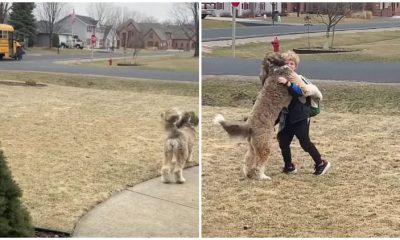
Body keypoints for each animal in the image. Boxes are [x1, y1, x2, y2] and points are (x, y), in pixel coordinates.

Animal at [212, 52, 322, 180]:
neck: (275, 69)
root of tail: (249, 126)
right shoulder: (299, 85)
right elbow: (310, 88)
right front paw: (319, 96)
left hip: (253, 147)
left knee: (248, 159)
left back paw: (247, 174)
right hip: (265, 145)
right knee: (258, 165)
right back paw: (263, 177)